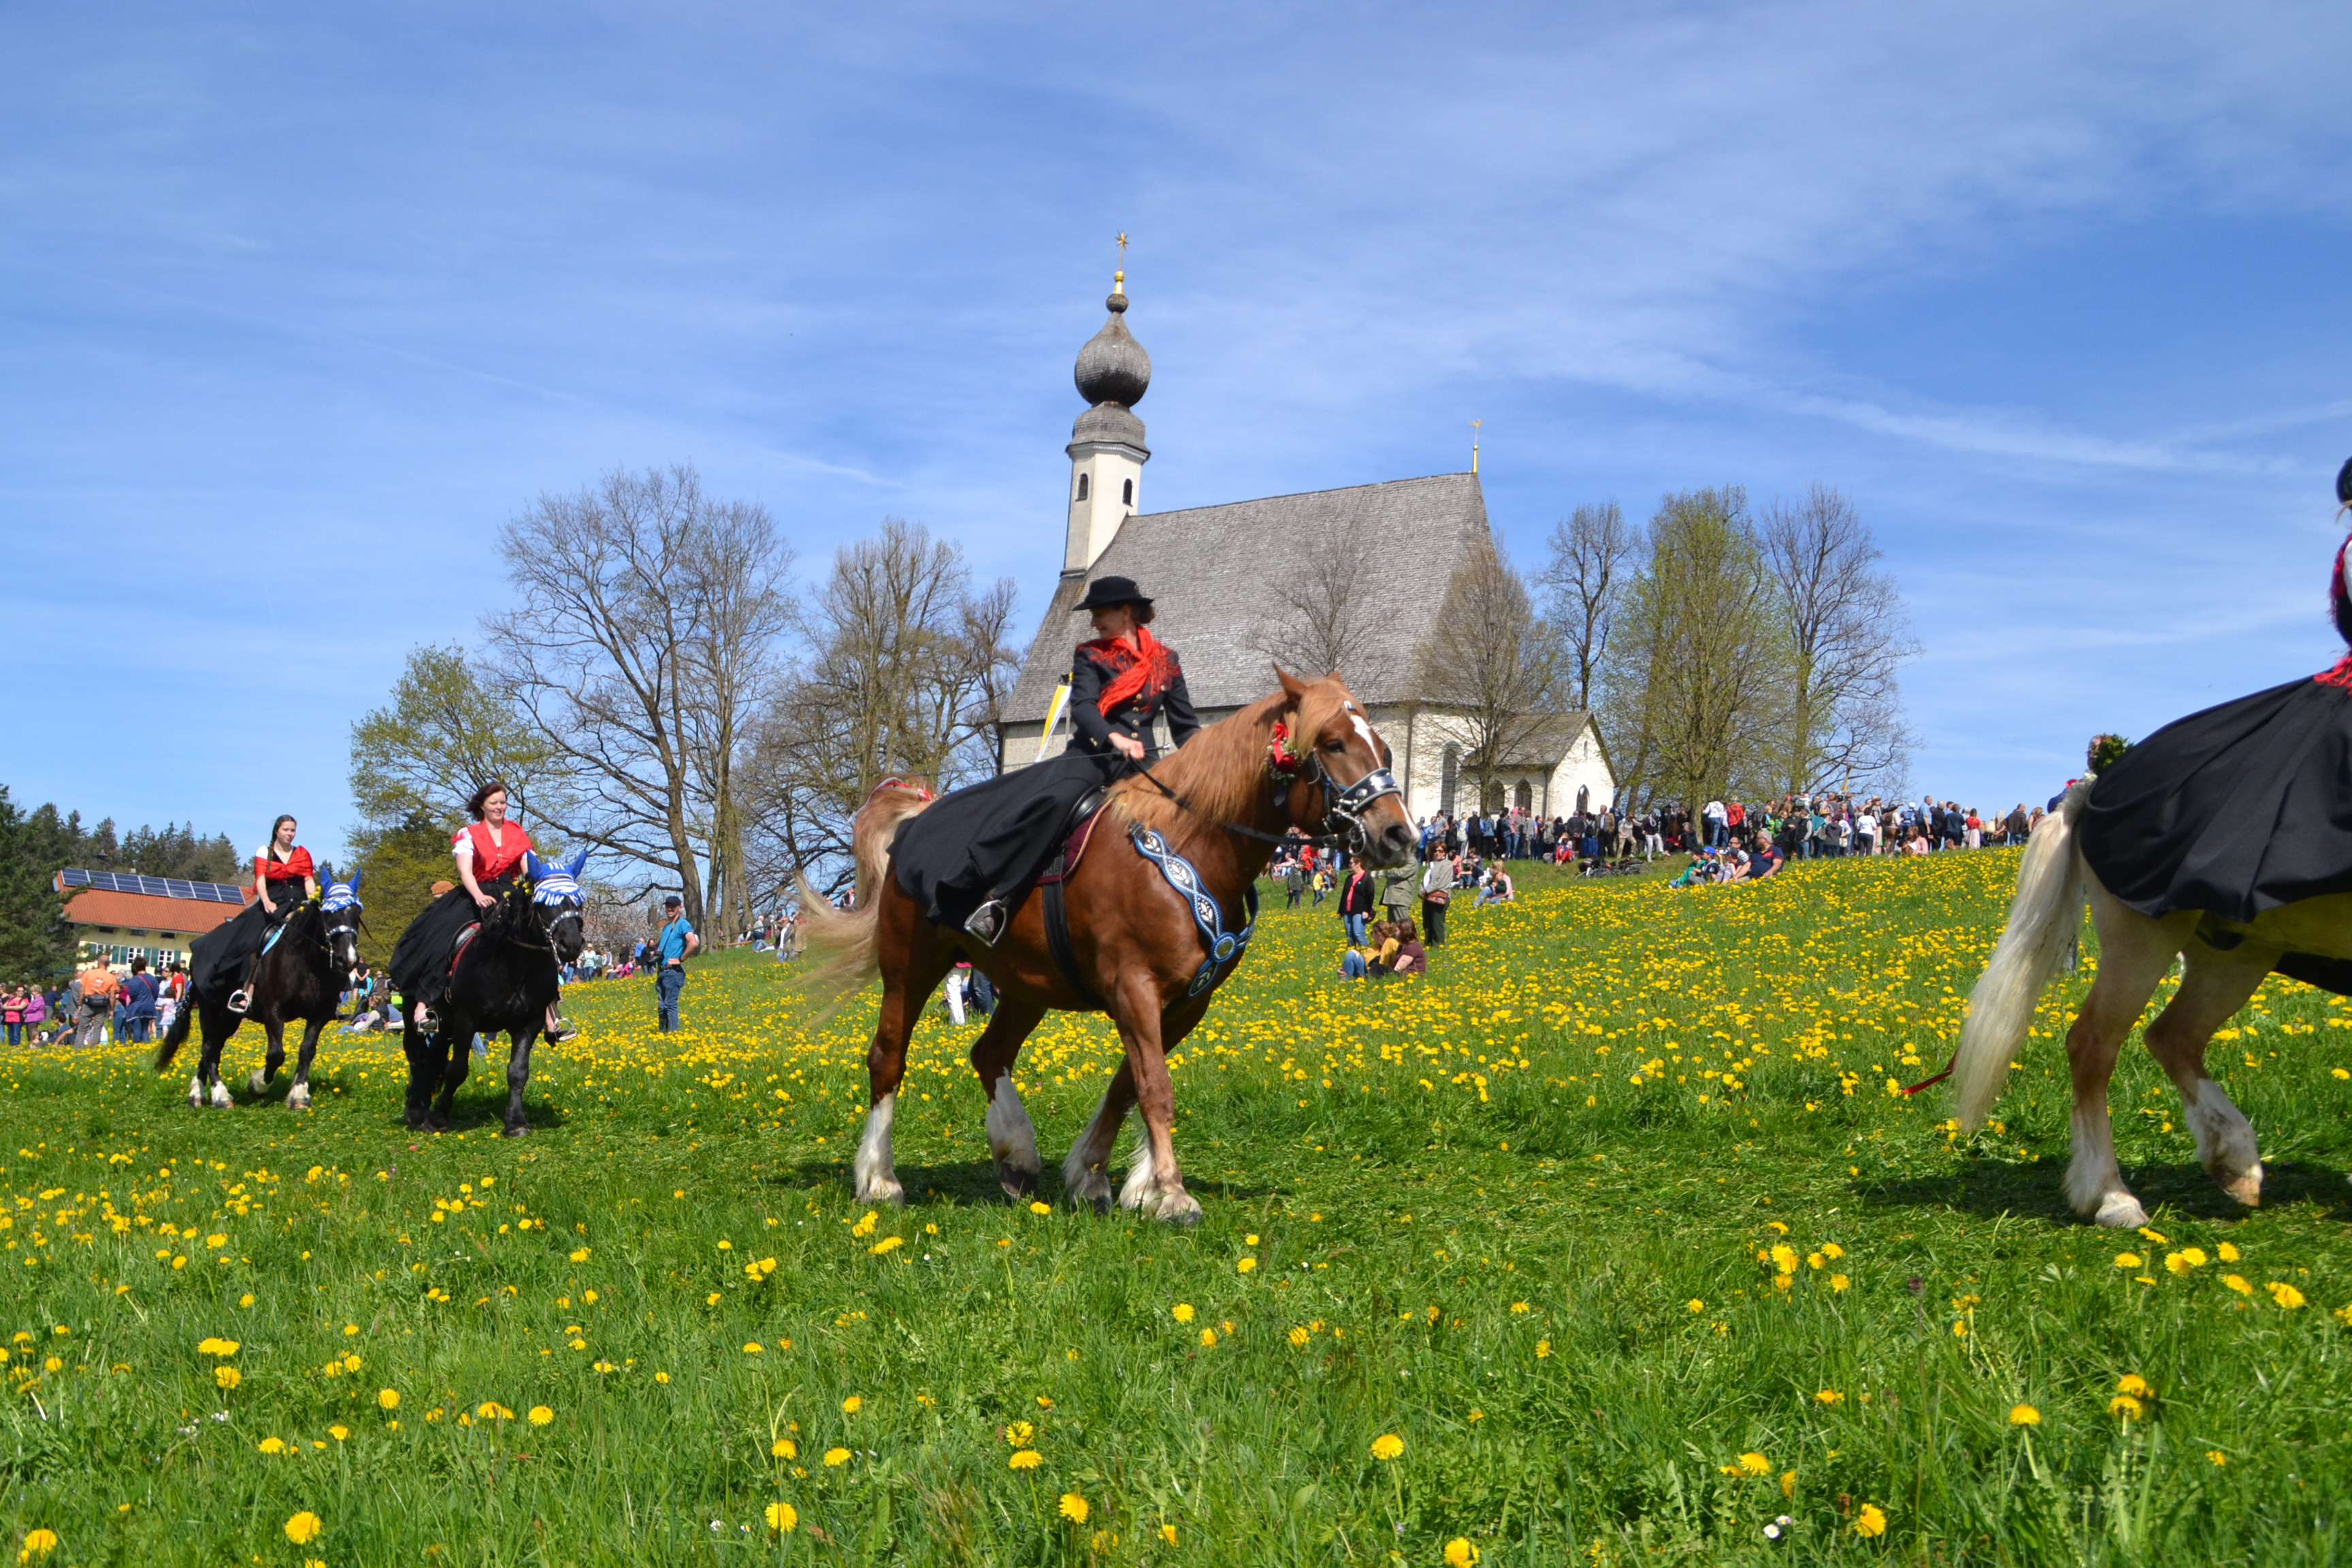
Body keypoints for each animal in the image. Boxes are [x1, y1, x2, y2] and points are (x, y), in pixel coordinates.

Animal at [159, 865, 364, 1109]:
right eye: (328, 914)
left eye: (357, 914)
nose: (348, 960)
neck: (308, 963)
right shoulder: (273, 1011)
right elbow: (276, 1054)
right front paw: (257, 1085)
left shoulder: (320, 1015)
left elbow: (307, 1051)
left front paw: (299, 1094)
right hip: (210, 1010)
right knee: (209, 1048)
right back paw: (220, 1096)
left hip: (230, 1017)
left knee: (212, 1048)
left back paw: (198, 1094)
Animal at [395, 851, 578, 1132]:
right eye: (543, 903)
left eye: (579, 899)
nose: (572, 944)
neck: (514, 966)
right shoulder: (466, 1020)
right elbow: (458, 1069)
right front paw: (439, 1117)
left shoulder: (529, 1023)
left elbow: (518, 1071)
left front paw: (516, 1122)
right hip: (414, 1009)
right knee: (416, 1053)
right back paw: (416, 1109)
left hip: (446, 1022)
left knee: (434, 1054)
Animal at [800, 668, 1411, 1222]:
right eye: (1332, 743)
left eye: (1383, 746)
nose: (1399, 835)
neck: (1189, 847)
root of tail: (916, 821)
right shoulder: (1134, 988)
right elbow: (1153, 1087)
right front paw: (1171, 1193)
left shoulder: (1185, 1002)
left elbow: (1127, 1086)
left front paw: (1103, 1179)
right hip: (910, 967)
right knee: (888, 1058)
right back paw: (880, 1179)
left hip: (1027, 986)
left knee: (989, 1054)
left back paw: (1017, 1157)